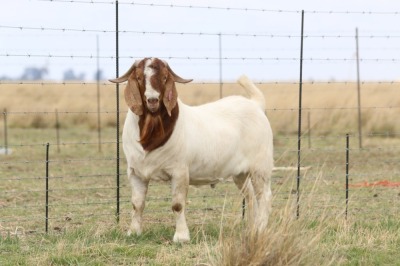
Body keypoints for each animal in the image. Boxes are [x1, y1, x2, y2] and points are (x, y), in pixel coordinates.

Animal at [108, 58, 272, 243]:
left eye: (165, 77)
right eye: (138, 77)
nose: (152, 100)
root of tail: (256, 105)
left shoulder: (179, 171)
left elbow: (177, 205)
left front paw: (181, 237)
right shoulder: (136, 172)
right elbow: (137, 204)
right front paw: (133, 232)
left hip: (260, 167)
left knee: (264, 197)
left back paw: (260, 230)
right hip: (240, 173)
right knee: (250, 196)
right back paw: (251, 229)